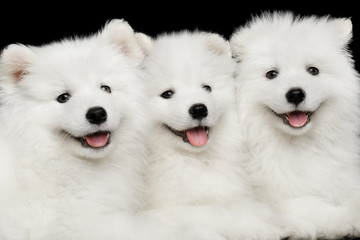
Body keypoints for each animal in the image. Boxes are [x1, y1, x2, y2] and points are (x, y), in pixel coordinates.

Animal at [135, 31, 312, 240]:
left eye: (207, 88)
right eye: (167, 94)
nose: (199, 109)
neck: (195, 160)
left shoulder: (234, 192)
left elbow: (258, 208)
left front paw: (287, 222)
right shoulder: (172, 207)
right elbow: (221, 214)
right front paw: (257, 228)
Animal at [231, 11, 360, 240]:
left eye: (313, 70)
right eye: (271, 74)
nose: (295, 94)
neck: (301, 144)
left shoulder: (344, 179)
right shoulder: (282, 197)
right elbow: (318, 208)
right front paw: (348, 220)